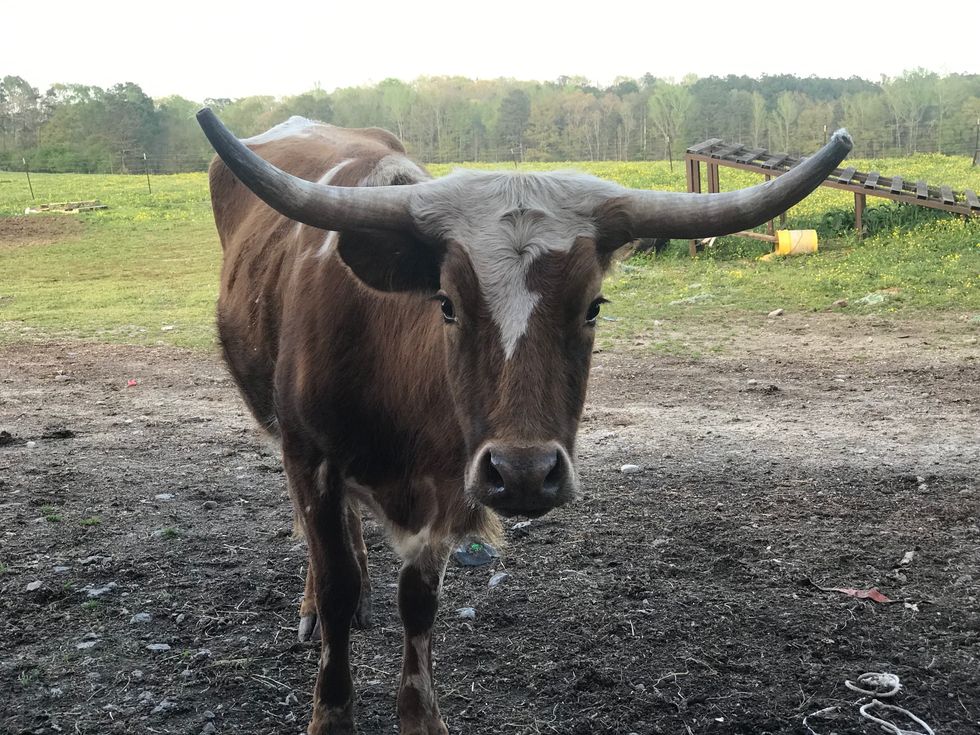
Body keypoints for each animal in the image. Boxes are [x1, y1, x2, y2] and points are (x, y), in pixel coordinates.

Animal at [198, 108, 851, 735]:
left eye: (593, 307)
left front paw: (421, 717)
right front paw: (330, 710)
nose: (524, 473)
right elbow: (336, 584)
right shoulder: (311, 458)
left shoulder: (446, 486)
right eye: (447, 304)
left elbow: (418, 601)